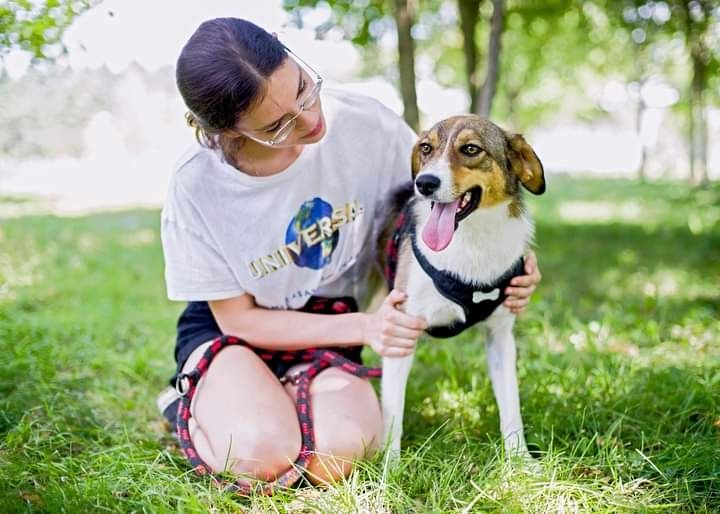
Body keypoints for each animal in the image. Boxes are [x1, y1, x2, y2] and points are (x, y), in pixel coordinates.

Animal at [380, 114, 544, 458]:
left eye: (470, 149)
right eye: (426, 148)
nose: (424, 183)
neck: (471, 241)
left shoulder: (500, 336)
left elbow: (512, 407)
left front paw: (520, 460)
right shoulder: (400, 331)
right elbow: (392, 419)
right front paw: (389, 469)